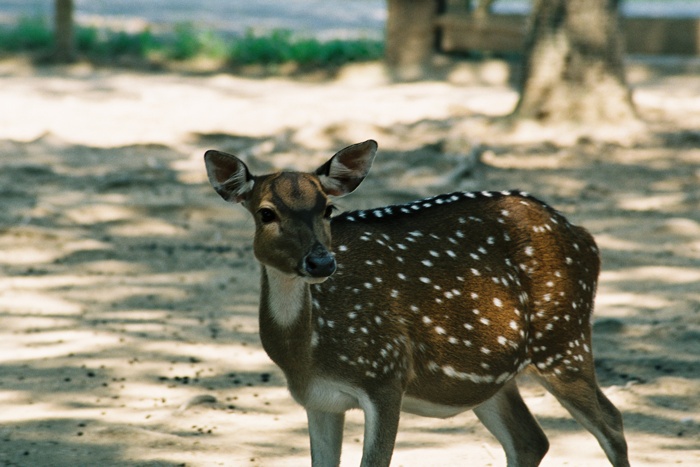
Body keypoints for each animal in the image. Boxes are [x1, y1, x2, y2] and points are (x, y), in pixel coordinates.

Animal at [202, 141, 628, 466]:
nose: (321, 262)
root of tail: (585, 237)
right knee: (530, 440)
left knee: (612, 423)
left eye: (328, 208)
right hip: (493, 374)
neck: (308, 353)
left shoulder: (386, 373)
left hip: (563, 338)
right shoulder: (318, 400)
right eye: (266, 213)